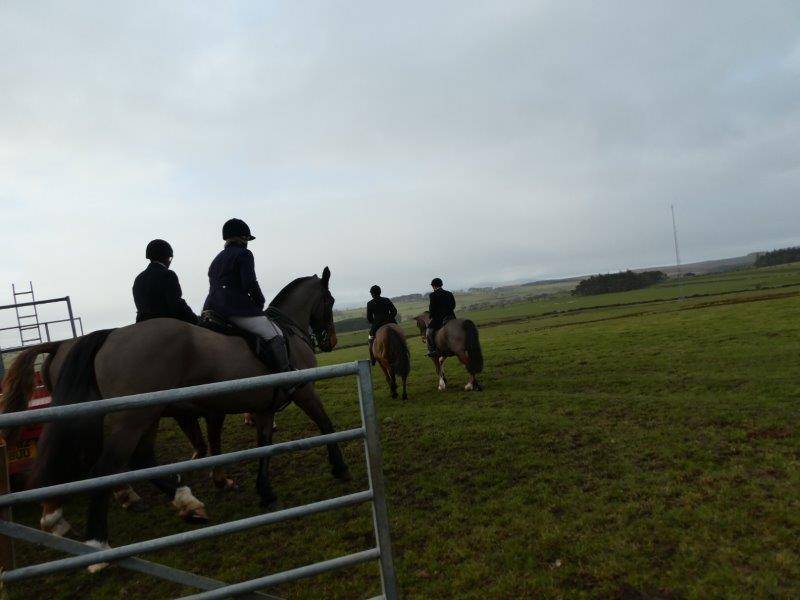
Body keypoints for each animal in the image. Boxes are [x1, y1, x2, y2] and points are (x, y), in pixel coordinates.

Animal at [0, 268, 344, 559]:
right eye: (330, 300)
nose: (330, 341)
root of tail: (109, 336)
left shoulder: (261, 407)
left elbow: (262, 446)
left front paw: (263, 491)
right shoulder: (303, 391)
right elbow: (325, 424)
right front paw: (339, 468)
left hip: (141, 416)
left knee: (135, 459)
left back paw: (180, 504)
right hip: (133, 417)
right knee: (107, 465)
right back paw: (99, 538)